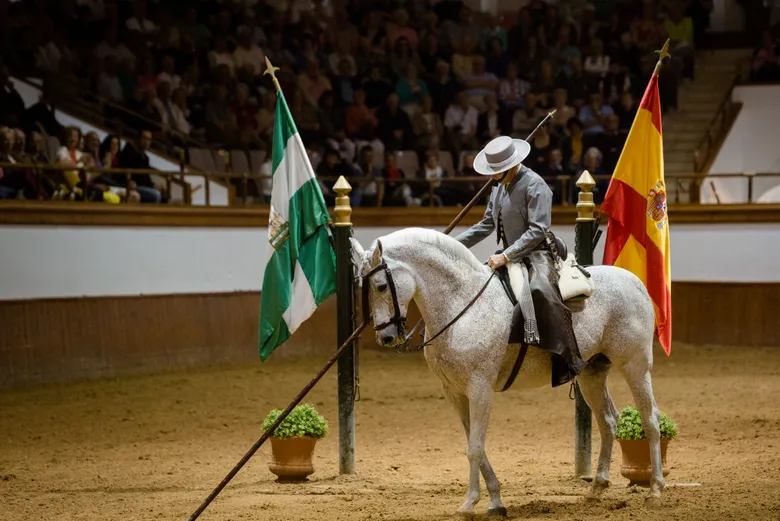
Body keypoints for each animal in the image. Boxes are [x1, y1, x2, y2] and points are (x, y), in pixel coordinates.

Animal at [354, 226, 664, 516]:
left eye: (380, 286)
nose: (386, 337)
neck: (462, 303)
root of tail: (635, 281)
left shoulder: (479, 388)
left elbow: (475, 448)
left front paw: (470, 503)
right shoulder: (454, 392)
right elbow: (474, 443)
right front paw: (495, 501)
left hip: (635, 366)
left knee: (650, 420)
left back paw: (655, 490)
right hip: (592, 375)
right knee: (608, 421)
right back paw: (597, 488)